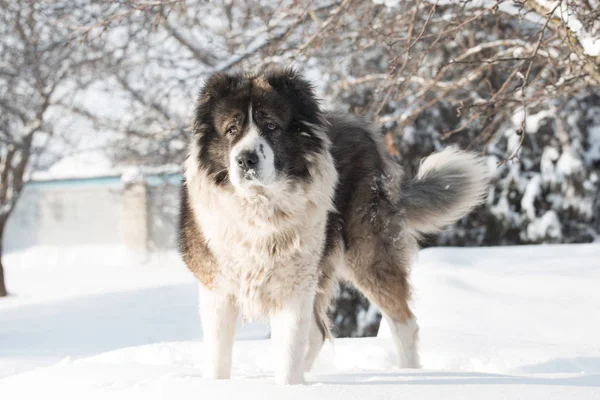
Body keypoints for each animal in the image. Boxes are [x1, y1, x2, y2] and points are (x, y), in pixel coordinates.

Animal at [178, 68, 488, 384]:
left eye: (271, 126)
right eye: (231, 129)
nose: (245, 159)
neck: (260, 209)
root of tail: (364, 130)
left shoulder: (296, 284)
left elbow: (289, 351)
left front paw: (290, 387)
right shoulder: (218, 288)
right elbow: (219, 358)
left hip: (368, 255)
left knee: (403, 322)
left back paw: (410, 374)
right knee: (318, 332)